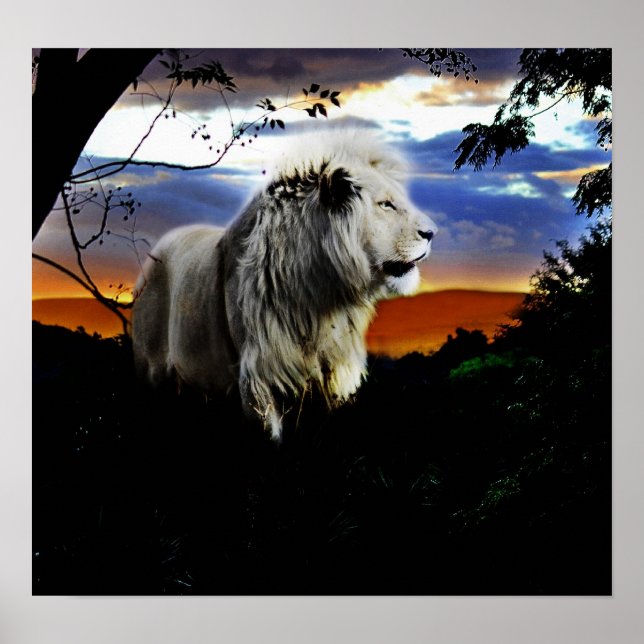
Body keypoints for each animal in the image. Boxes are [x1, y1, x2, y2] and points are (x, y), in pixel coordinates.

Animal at [132, 129, 437, 441]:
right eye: (385, 204)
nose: (431, 233)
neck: (320, 295)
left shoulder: (336, 372)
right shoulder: (258, 376)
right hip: (151, 370)